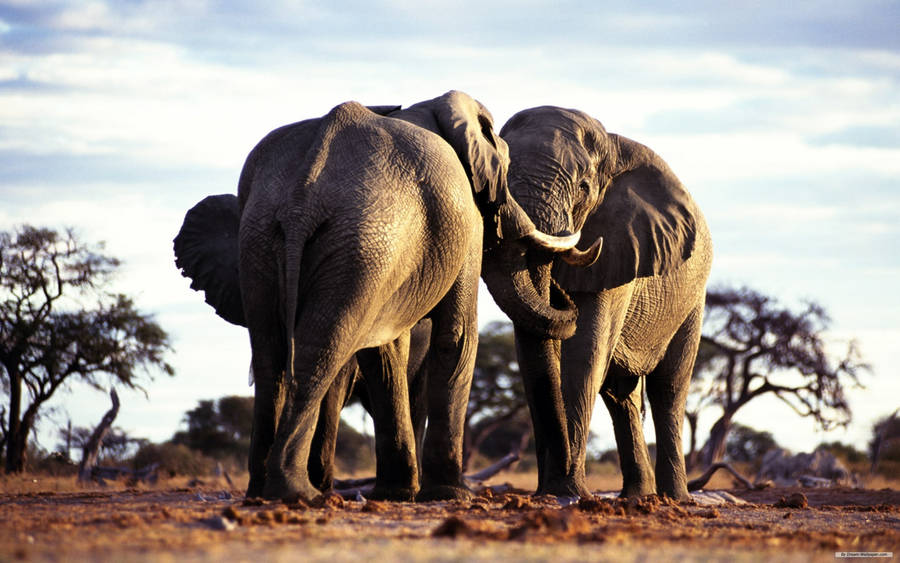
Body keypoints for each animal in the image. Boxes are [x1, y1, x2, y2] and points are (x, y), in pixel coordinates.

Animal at [174, 91, 587, 502]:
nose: (563, 292)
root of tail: (302, 199)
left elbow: (384, 351)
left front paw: (396, 493)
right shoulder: (466, 221)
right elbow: (457, 335)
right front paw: (449, 494)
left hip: (266, 240)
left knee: (270, 353)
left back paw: (264, 491)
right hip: (363, 242)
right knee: (320, 350)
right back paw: (299, 492)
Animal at [480, 106, 712, 500]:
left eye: (583, 188)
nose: (558, 292)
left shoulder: (621, 246)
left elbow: (585, 352)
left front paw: (567, 492)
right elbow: (534, 354)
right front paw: (552, 492)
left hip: (693, 299)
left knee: (668, 389)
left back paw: (674, 498)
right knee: (621, 397)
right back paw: (637, 497)